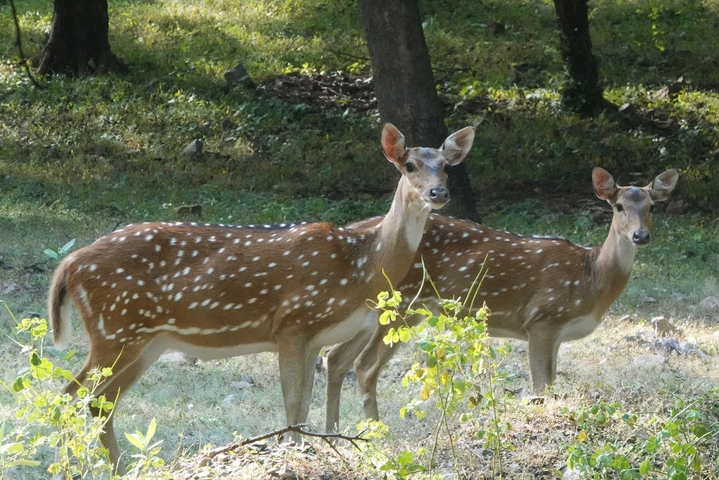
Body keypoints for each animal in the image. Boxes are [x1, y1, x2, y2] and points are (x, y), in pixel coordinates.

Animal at [46, 123, 476, 475]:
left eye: (446, 167)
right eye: (409, 165)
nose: (439, 193)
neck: (360, 268)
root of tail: (68, 265)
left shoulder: (313, 338)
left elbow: (302, 406)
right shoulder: (293, 323)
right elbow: (292, 405)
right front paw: (293, 454)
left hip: (145, 342)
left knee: (99, 403)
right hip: (114, 330)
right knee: (69, 397)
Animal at [324, 167, 679, 433]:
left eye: (652, 207)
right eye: (618, 206)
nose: (640, 236)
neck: (591, 278)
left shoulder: (556, 332)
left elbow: (551, 384)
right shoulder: (543, 317)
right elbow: (540, 388)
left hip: (375, 311)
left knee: (337, 357)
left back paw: (334, 431)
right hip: (402, 303)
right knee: (364, 364)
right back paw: (375, 431)